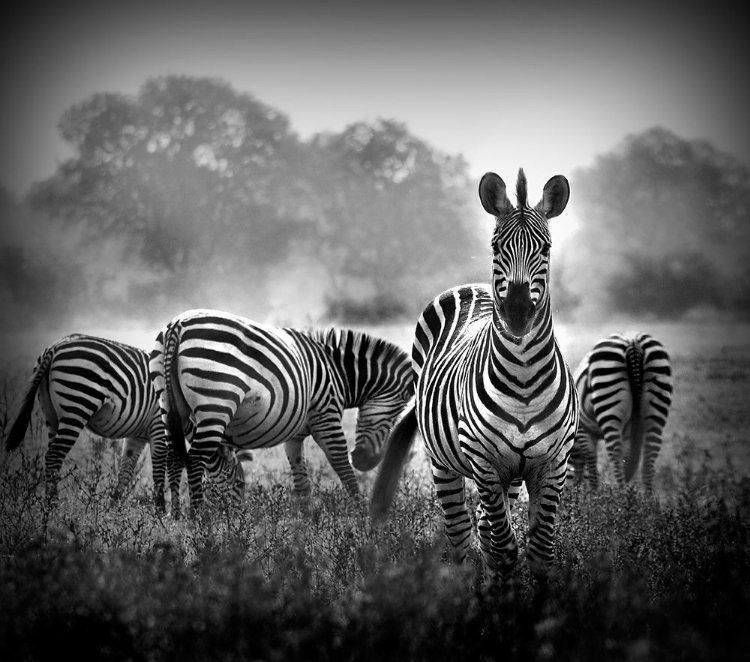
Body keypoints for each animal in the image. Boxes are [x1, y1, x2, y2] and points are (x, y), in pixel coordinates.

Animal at [2, 334, 244, 510]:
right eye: (239, 483)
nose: (237, 516)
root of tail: (56, 346)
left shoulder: (137, 436)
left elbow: (126, 472)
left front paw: (113, 510)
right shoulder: (158, 425)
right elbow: (160, 468)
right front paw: (161, 514)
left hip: (51, 414)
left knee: (51, 455)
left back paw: (48, 504)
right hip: (77, 405)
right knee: (54, 456)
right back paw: (52, 506)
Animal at [149, 312, 414, 512]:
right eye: (394, 418)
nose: (365, 463)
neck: (339, 374)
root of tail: (178, 324)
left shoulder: (295, 436)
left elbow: (302, 483)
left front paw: (307, 526)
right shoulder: (326, 415)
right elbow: (342, 468)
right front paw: (361, 514)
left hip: (169, 404)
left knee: (174, 458)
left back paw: (177, 520)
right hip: (216, 405)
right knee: (194, 460)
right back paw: (199, 521)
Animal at [374, 171, 580, 588]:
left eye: (546, 248)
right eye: (496, 246)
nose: (517, 312)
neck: (524, 379)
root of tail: (472, 287)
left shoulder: (553, 463)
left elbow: (539, 552)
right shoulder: (484, 461)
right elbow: (503, 549)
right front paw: (498, 602)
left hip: (510, 476)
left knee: (485, 527)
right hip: (445, 463)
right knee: (462, 536)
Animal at [568, 334, 676, 496]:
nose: (568, 493)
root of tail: (633, 342)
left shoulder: (584, 431)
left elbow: (592, 466)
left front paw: (593, 495)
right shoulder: (627, 435)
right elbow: (626, 457)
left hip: (608, 398)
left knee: (615, 452)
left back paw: (621, 494)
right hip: (657, 400)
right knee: (650, 452)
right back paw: (647, 499)